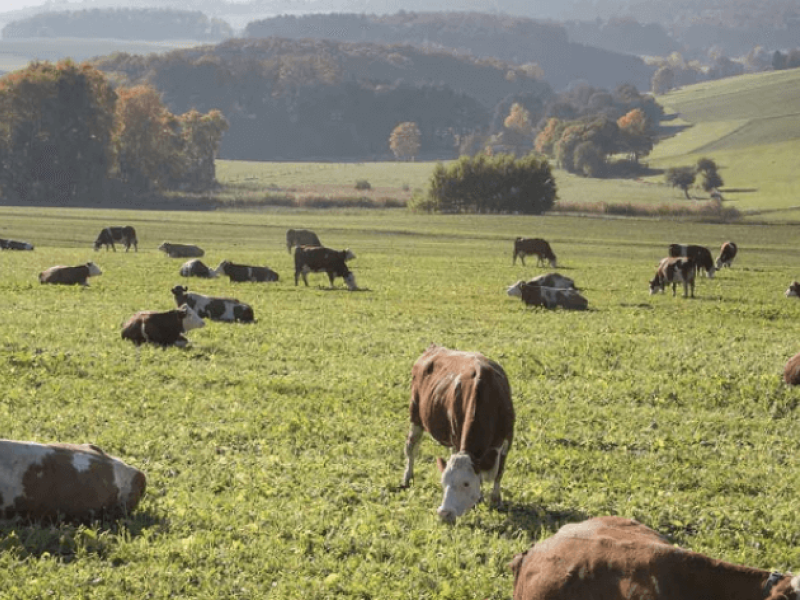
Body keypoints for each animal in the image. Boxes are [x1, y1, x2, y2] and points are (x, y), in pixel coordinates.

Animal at [401, 344, 515, 523]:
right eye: (443, 482)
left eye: (466, 483)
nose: (444, 513)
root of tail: (434, 347)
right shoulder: (456, 436)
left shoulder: (507, 440)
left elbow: (499, 473)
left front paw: (496, 500)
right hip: (415, 415)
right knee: (411, 448)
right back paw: (407, 478)